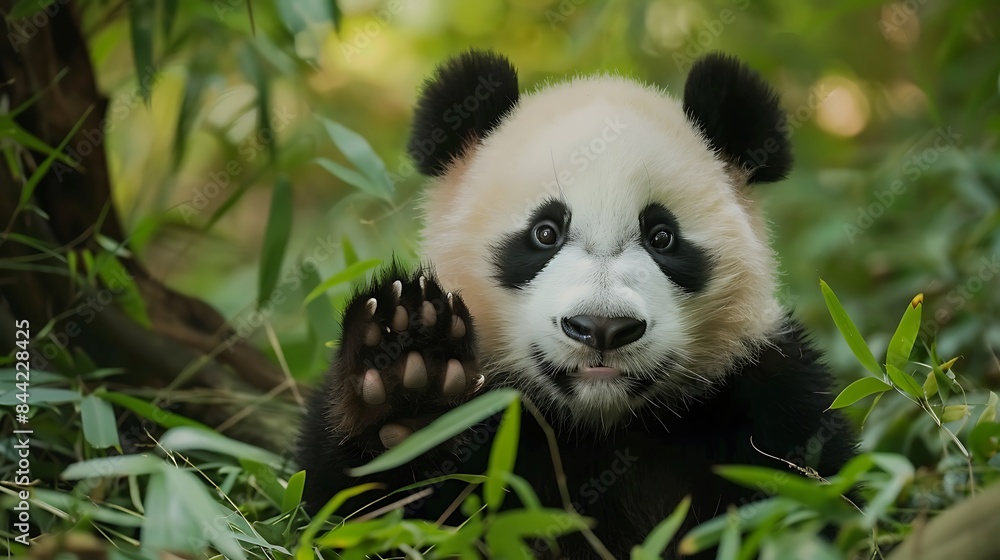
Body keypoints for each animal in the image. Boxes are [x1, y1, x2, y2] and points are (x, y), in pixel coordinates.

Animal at [297, 49, 856, 559]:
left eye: (662, 237)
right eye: (544, 232)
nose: (602, 327)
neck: (598, 426)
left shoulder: (767, 397)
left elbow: (818, 503)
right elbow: (353, 516)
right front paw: (409, 369)